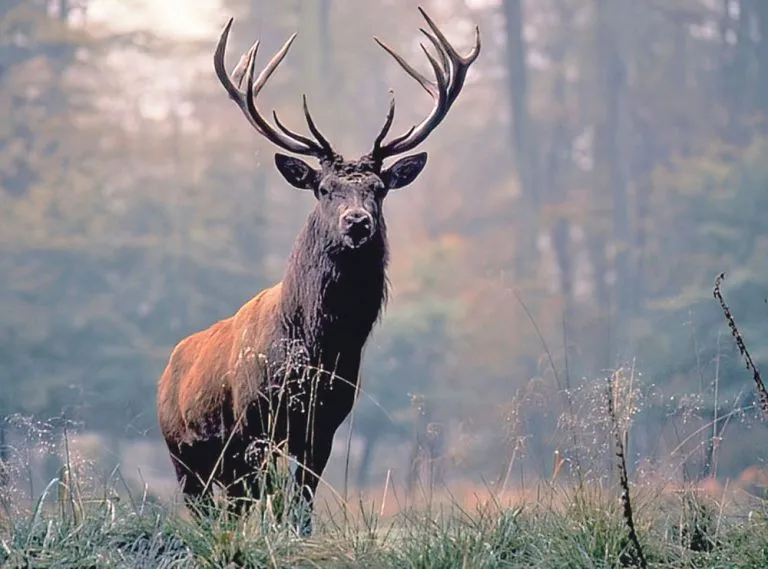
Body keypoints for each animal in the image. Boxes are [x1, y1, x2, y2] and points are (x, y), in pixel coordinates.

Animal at [156, 7, 480, 535]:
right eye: (324, 188)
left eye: (378, 189)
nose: (358, 223)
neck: (317, 349)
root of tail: (168, 369)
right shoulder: (253, 421)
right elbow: (267, 502)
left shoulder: (324, 424)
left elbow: (301, 504)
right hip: (182, 453)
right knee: (212, 510)